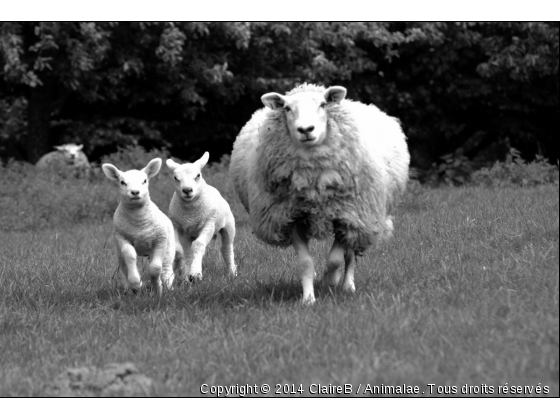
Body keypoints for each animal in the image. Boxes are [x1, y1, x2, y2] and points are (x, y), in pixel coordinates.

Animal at [102, 158, 175, 296]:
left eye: (144, 180)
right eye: (122, 182)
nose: (135, 192)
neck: (139, 224)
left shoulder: (160, 239)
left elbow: (155, 268)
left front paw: (158, 289)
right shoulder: (121, 237)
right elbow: (130, 255)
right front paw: (136, 284)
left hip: (169, 248)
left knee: (166, 269)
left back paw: (168, 287)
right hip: (119, 253)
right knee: (124, 268)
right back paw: (129, 288)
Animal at [166, 151, 236, 282]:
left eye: (198, 175)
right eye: (176, 178)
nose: (187, 190)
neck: (190, 214)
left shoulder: (208, 224)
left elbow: (198, 245)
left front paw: (195, 274)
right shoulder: (178, 226)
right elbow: (180, 250)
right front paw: (182, 272)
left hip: (228, 226)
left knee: (226, 249)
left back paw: (232, 273)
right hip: (189, 234)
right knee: (189, 252)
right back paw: (186, 275)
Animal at [230, 83, 410, 306]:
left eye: (323, 104)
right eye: (287, 108)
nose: (306, 130)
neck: (313, 181)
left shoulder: (345, 214)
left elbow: (335, 259)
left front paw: (330, 280)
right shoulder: (291, 217)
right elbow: (305, 263)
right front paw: (308, 298)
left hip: (361, 218)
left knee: (350, 255)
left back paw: (348, 285)